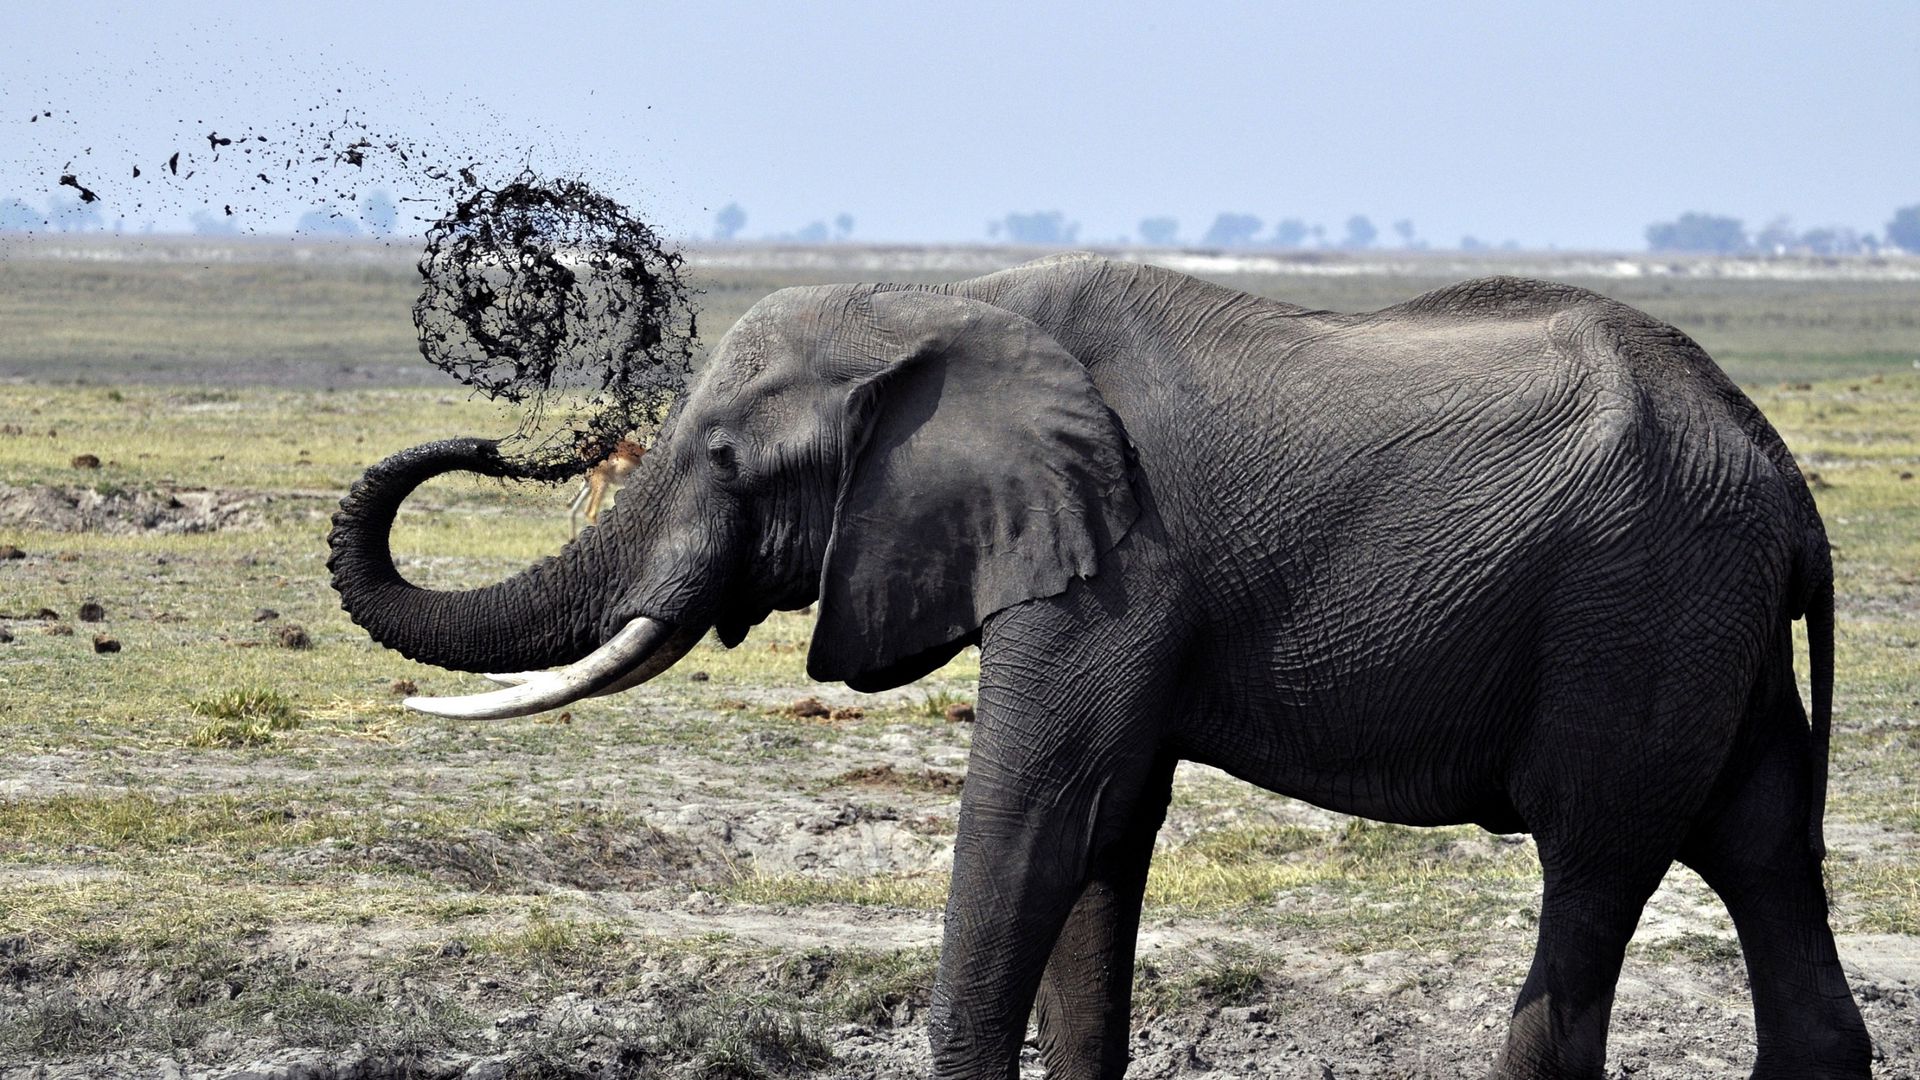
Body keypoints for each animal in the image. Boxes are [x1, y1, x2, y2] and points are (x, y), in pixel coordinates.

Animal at [330, 253, 1873, 1076]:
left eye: (724, 460)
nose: (500, 439)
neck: (939, 303)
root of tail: (1786, 481)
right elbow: (1102, 829)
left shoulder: (1116, 562)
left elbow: (1037, 809)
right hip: (1709, 625)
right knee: (1763, 855)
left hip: (1641, 609)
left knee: (1599, 863)